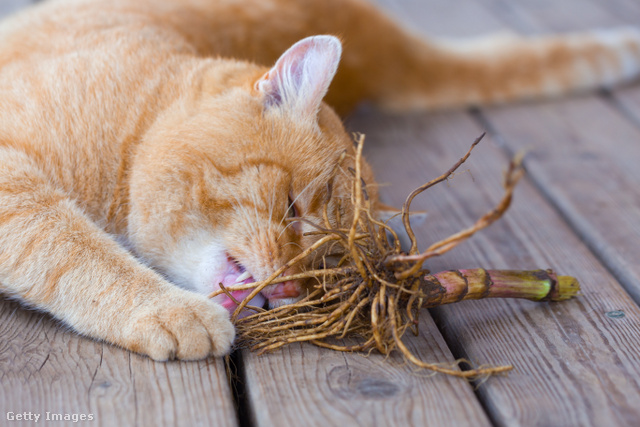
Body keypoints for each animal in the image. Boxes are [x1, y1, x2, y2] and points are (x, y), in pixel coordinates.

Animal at [0, 0, 636, 362]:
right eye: (289, 207)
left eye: (327, 265)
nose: (286, 288)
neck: (140, 122)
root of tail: (383, 54)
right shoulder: (16, 187)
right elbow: (72, 247)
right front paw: (173, 311)